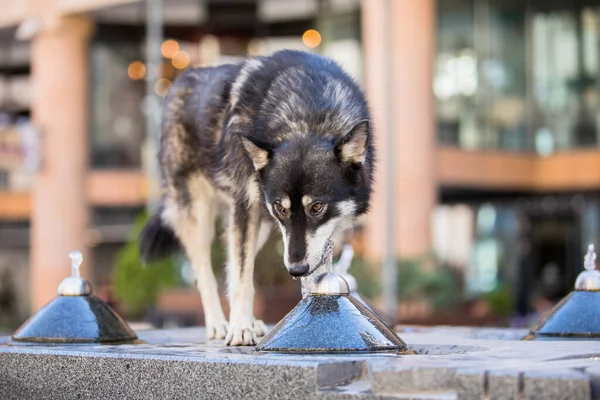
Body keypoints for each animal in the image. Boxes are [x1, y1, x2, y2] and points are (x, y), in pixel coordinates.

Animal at [141, 49, 376, 344]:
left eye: (317, 207)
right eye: (282, 208)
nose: (296, 270)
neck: (306, 116)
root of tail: (180, 80)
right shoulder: (246, 206)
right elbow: (242, 278)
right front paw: (240, 328)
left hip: (259, 227)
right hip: (200, 217)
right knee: (206, 273)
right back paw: (219, 324)